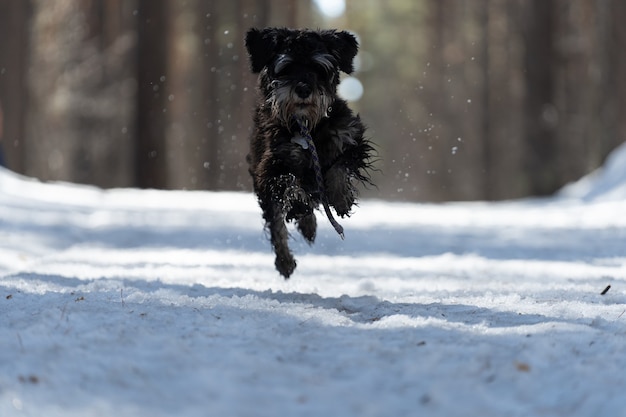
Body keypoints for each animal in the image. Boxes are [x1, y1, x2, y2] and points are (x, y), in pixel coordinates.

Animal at [243, 27, 370, 278]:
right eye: (286, 67)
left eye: (319, 68)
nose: (303, 89)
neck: (306, 127)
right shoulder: (271, 167)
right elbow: (289, 182)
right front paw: (298, 204)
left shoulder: (351, 140)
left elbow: (340, 168)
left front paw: (342, 198)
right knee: (277, 223)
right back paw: (285, 259)